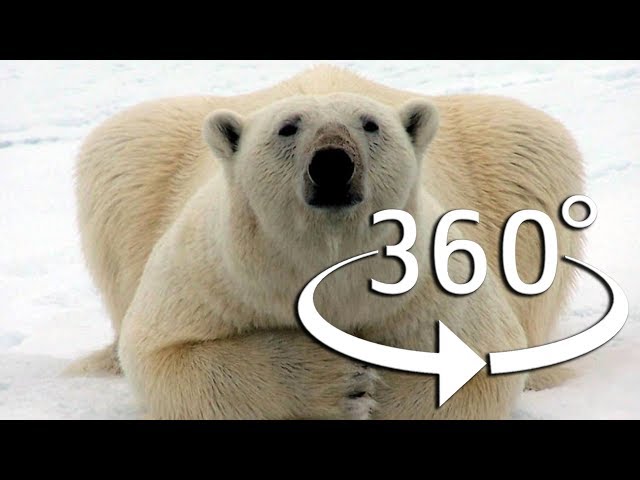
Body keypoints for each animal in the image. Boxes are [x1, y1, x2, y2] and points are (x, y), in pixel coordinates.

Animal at [68, 65, 584, 419]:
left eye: (370, 124)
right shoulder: (213, 274)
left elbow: (480, 356)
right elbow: (167, 356)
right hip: (145, 155)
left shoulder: (436, 283)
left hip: (505, 154)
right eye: (288, 126)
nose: (333, 163)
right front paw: (339, 382)